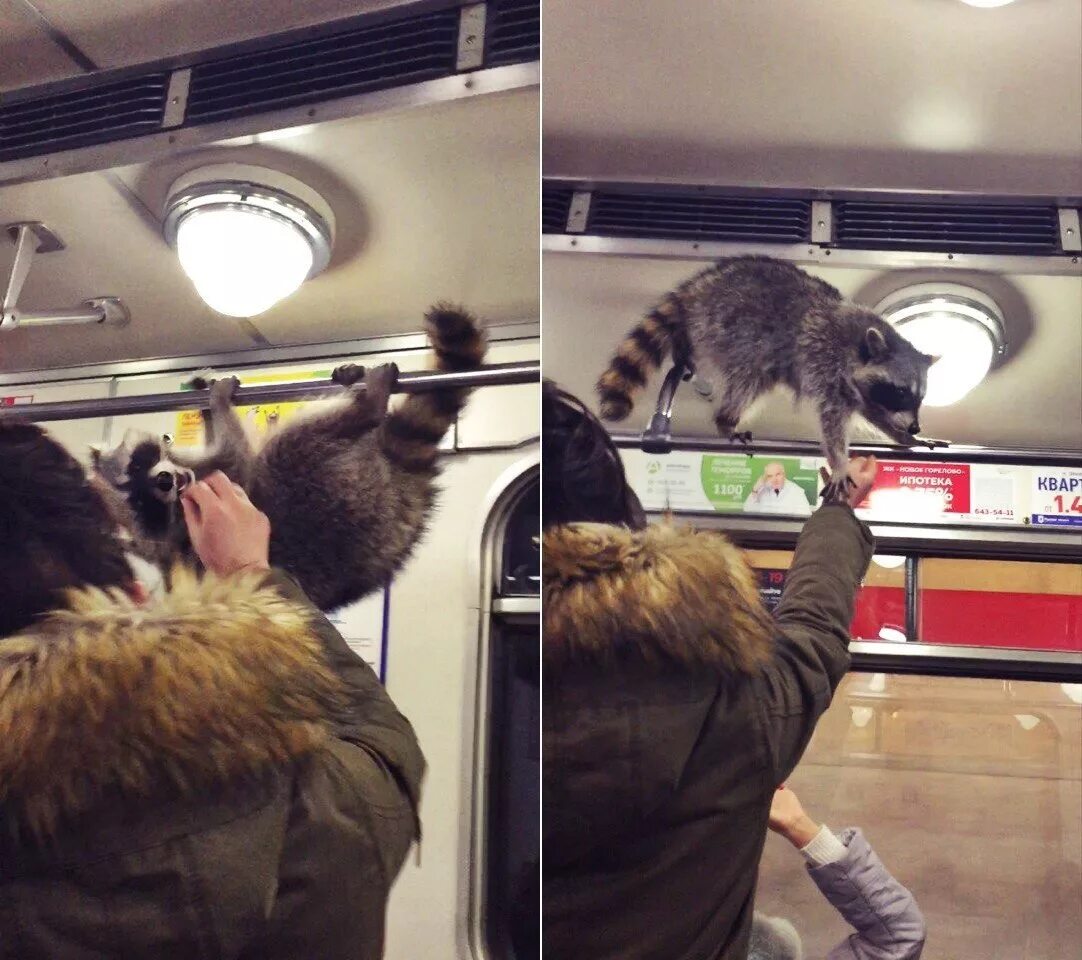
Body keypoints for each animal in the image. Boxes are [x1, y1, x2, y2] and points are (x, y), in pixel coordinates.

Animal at [97, 303, 486, 610]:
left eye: (139, 465)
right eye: (147, 503)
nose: (166, 480)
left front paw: (205, 403)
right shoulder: (217, 484)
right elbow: (236, 452)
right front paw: (217, 405)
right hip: (329, 496)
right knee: (292, 445)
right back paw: (368, 406)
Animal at [597, 258, 943, 502]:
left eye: (920, 397)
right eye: (901, 391)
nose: (915, 427)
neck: (861, 345)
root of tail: (699, 287)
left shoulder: (861, 388)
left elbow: (873, 412)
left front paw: (903, 436)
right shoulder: (826, 364)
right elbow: (832, 422)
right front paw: (841, 462)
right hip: (728, 327)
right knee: (749, 377)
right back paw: (726, 420)